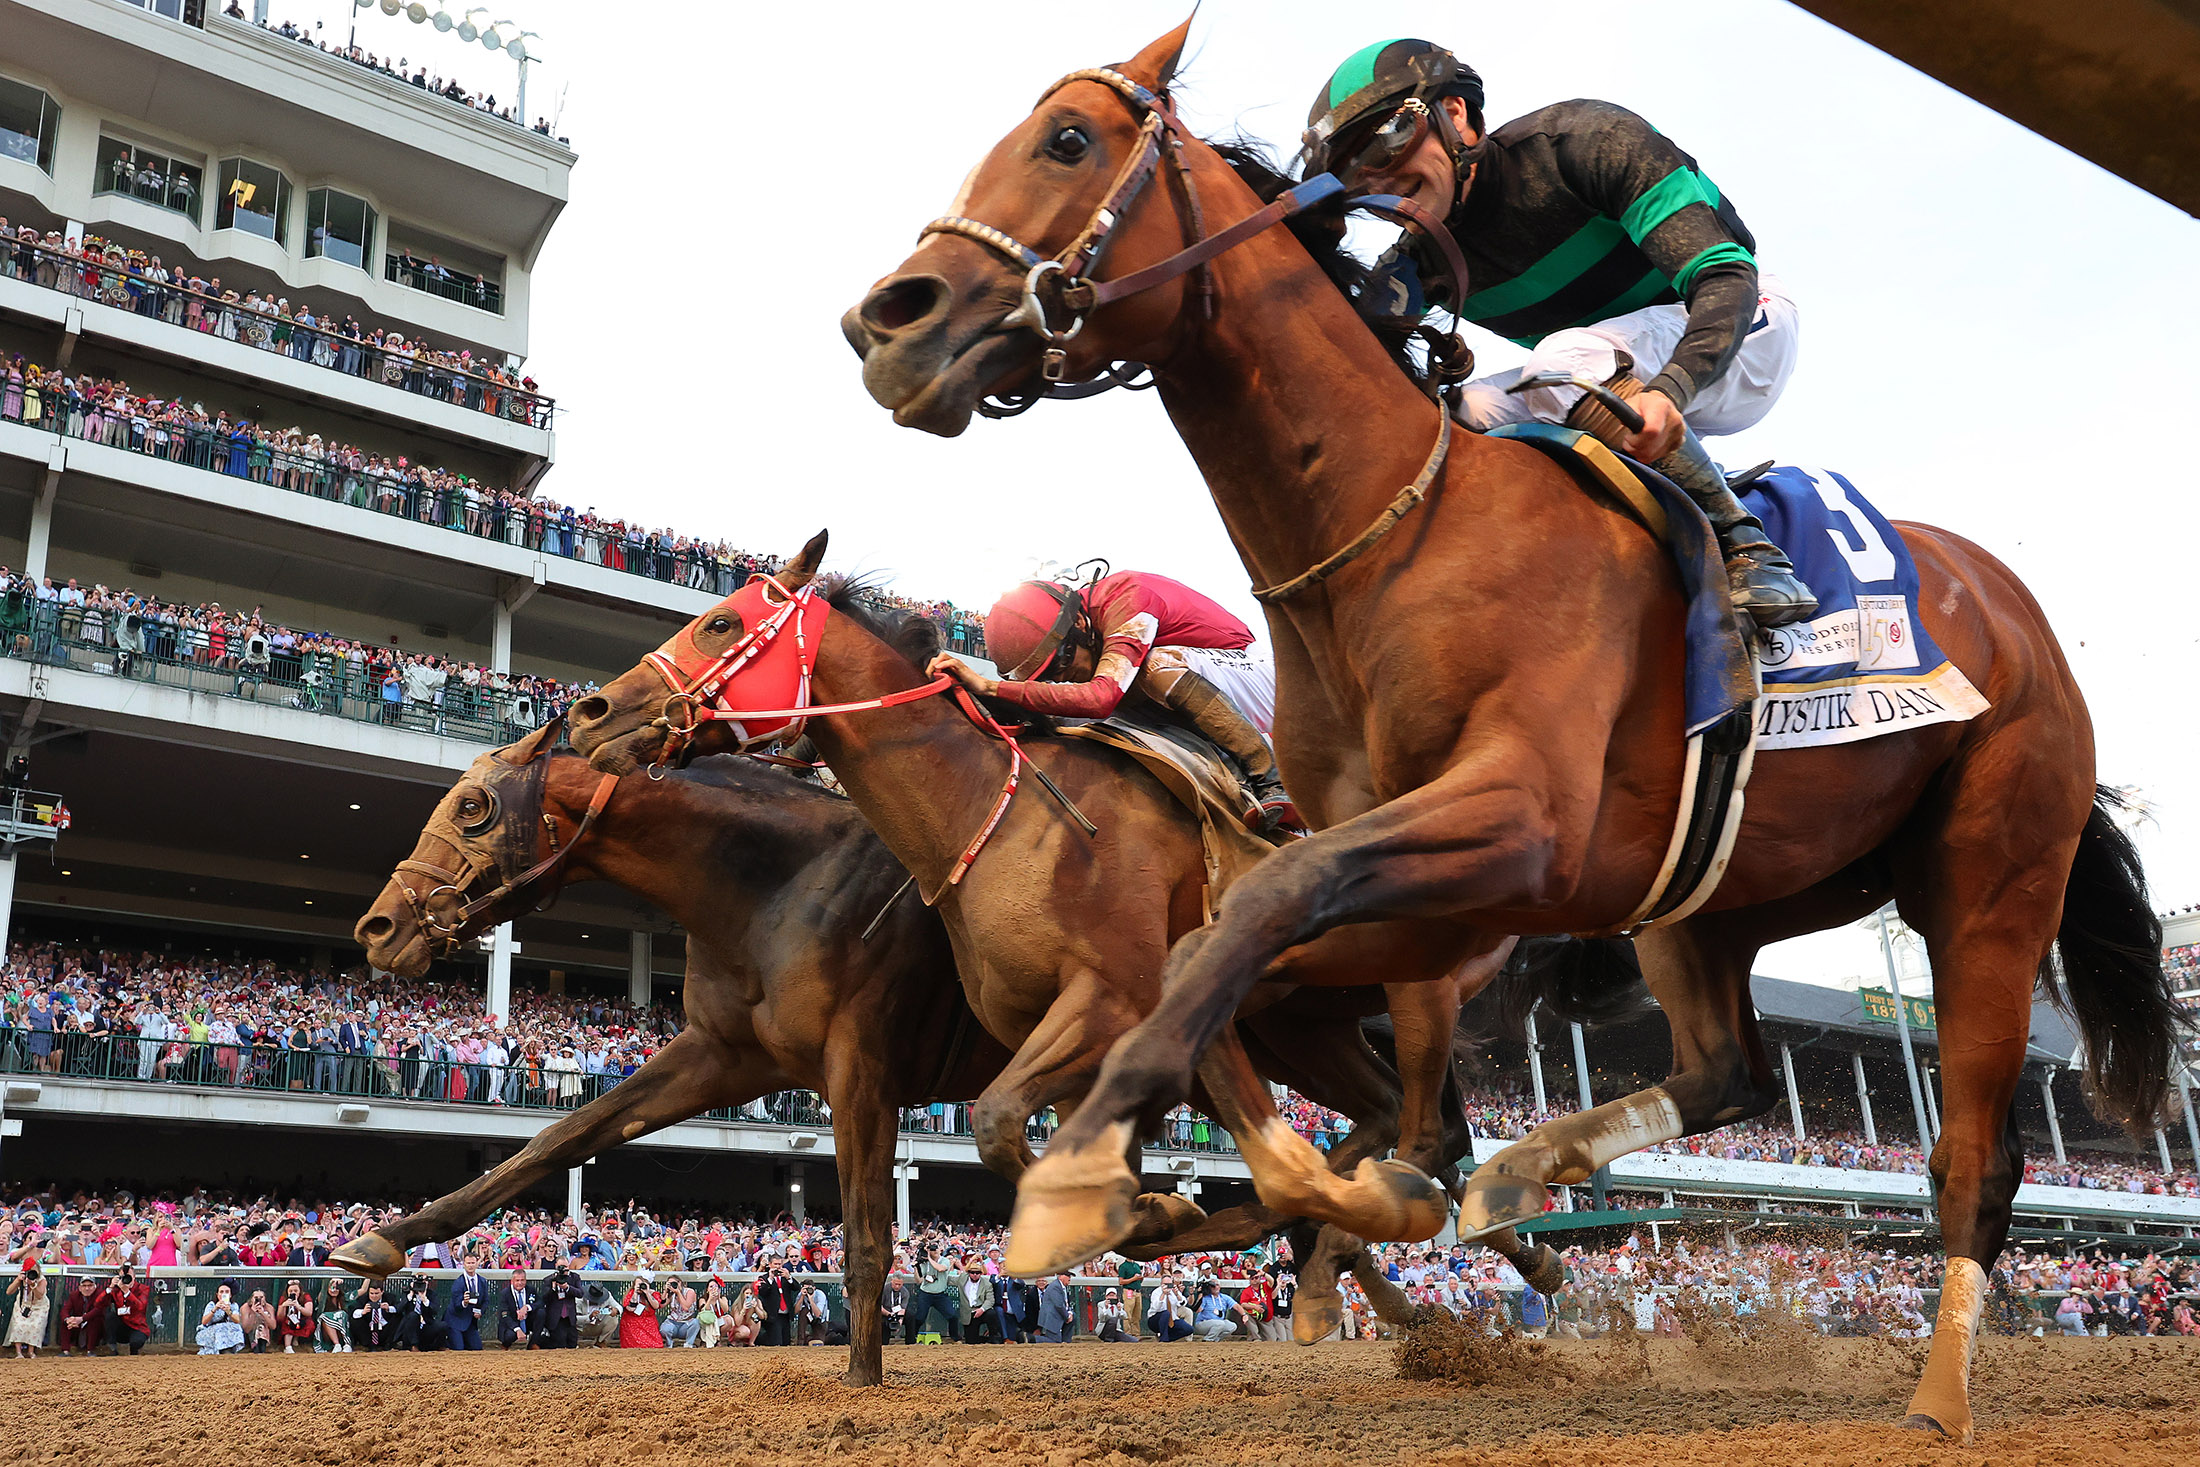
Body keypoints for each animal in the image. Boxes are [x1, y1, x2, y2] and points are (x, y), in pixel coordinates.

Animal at [836, 17, 2182, 1442]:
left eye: (1068, 141)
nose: (888, 322)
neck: (1391, 530)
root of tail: (2009, 607)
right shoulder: (1427, 876)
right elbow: (1260, 971)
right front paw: (1289, 1191)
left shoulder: (1514, 826)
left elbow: (1270, 918)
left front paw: (1096, 1170)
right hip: (1715, 893)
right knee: (1736, 1071)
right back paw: (1522, 1174)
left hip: (1990, 874)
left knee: (1974, 1150)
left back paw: (1934, 1397)